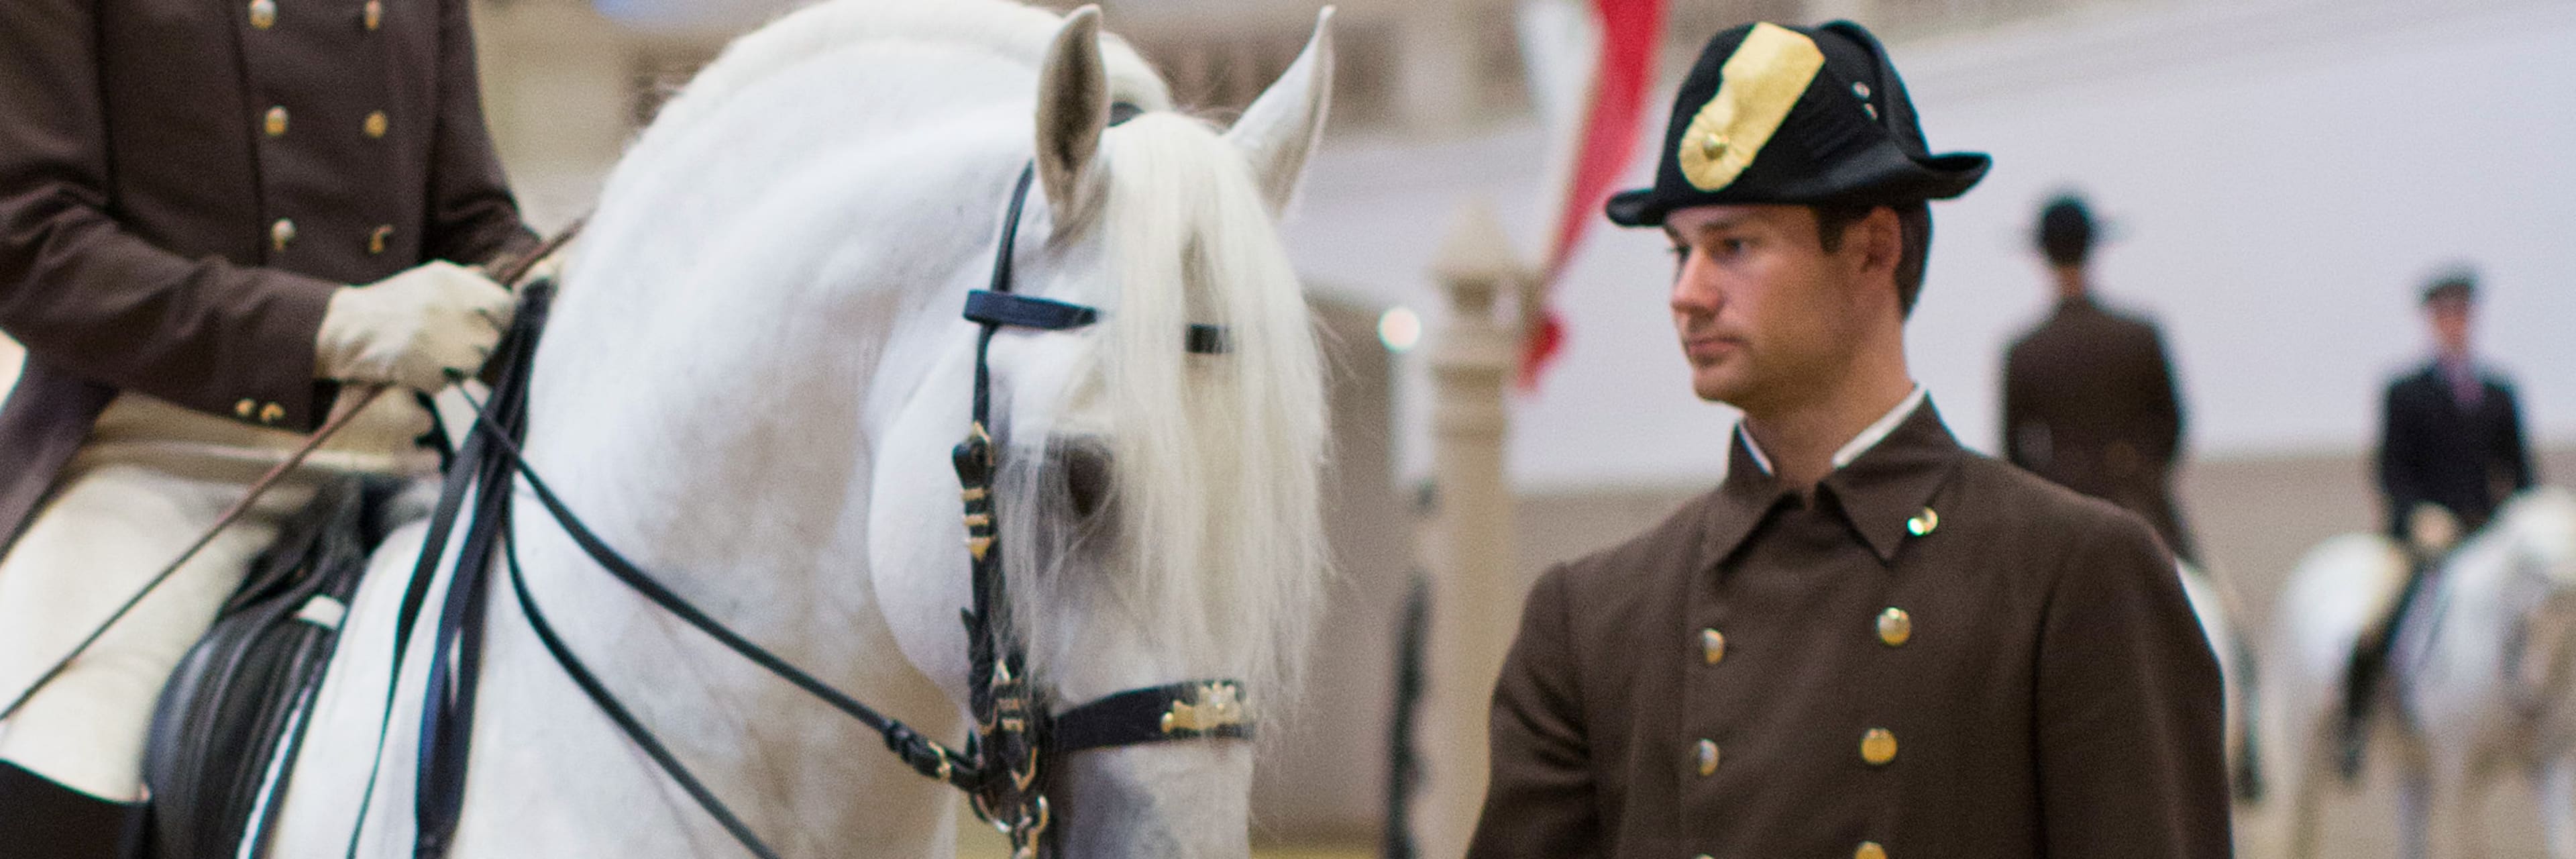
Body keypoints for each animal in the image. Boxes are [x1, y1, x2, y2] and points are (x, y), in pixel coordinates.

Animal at [2246, 485, 2576, 851]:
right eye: (2528, 560)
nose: (2563, 590)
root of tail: (2324, 557)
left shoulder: (2552, 765)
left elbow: (2563, 840)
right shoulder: (2458, 776)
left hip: (2410, 759)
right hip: (2304, 748)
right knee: (2301, 825)